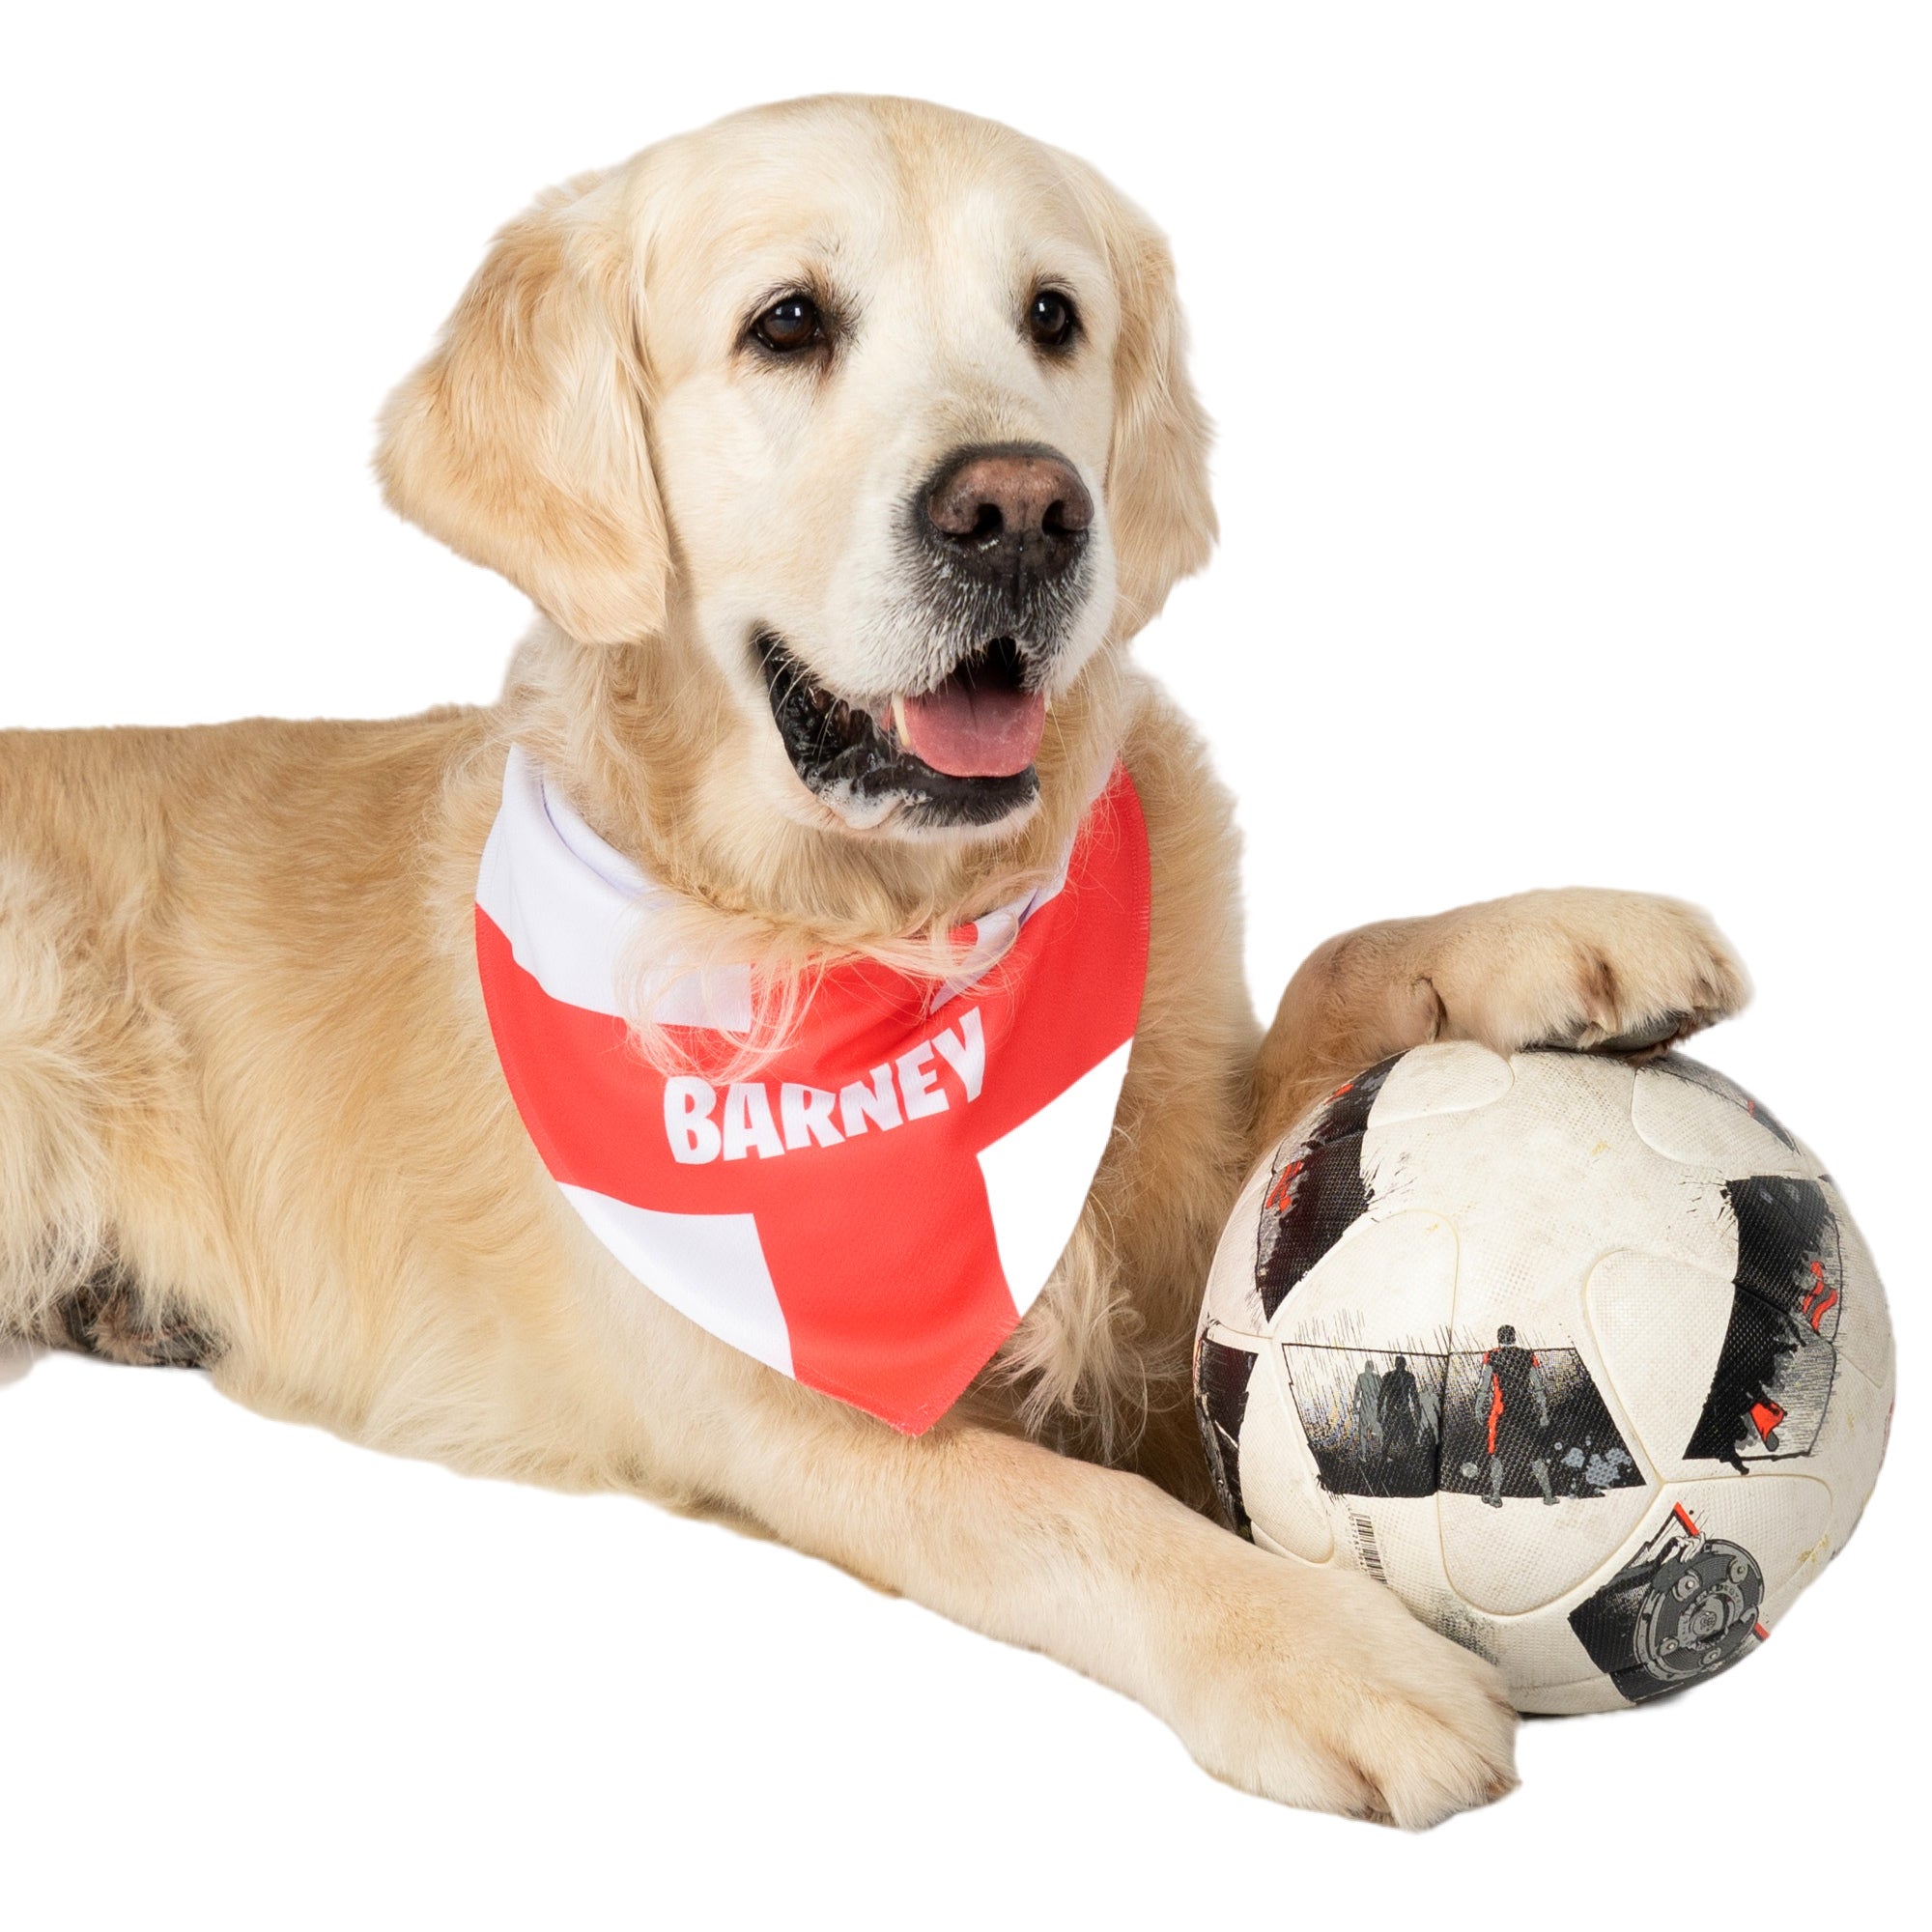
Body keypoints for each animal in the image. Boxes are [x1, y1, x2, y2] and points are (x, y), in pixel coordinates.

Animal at [0, 94, 1754, 1824]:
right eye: (787, 323)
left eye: (1053, 316)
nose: (1025, 509)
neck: (889, 941)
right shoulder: (773, 1397)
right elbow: (1062, 1509)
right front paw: (1322, 1648)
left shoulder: (1175, 1236)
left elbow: (1317, 1012)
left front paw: (1555, 940)